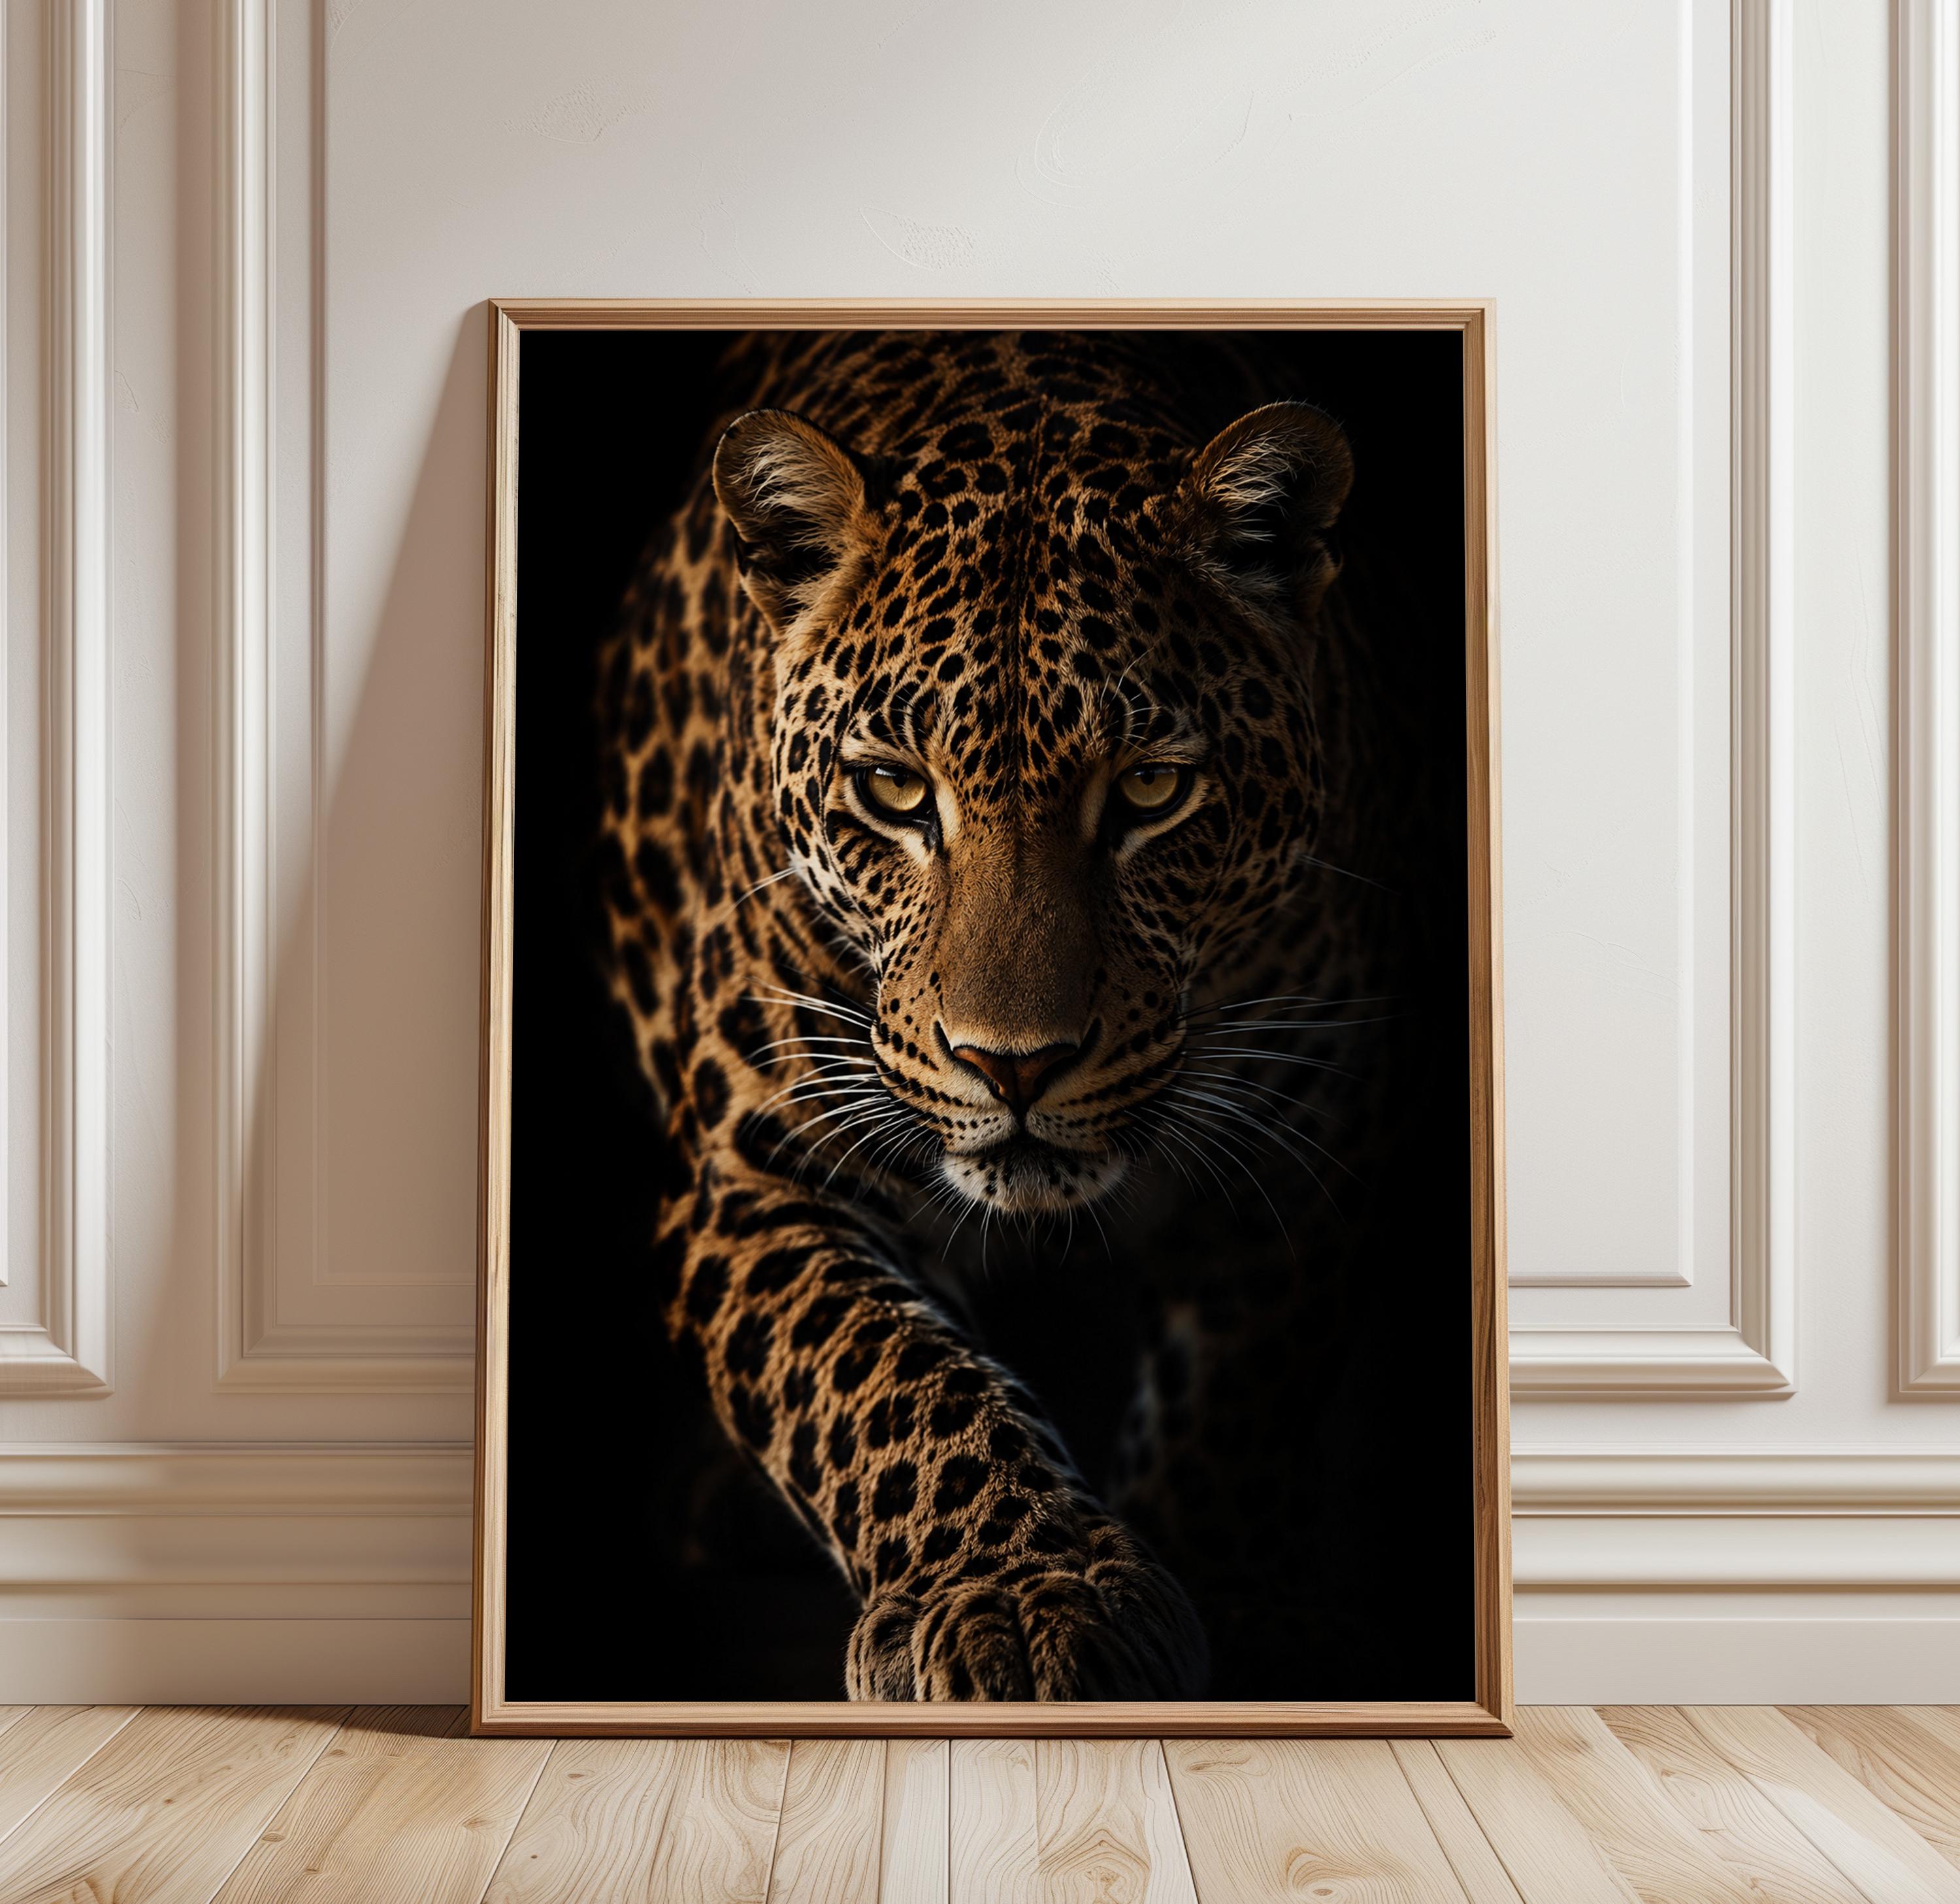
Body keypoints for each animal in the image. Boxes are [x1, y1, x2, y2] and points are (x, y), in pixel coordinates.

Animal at [591, 327, 1430, 1702]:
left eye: (1150, 789)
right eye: (893, 789)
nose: (1016, 1066)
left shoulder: (1312, 1116)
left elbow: (1240, 1390)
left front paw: (1234, 1594)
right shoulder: (757, 1163)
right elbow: (883, 1375)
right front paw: (1031, 1594)